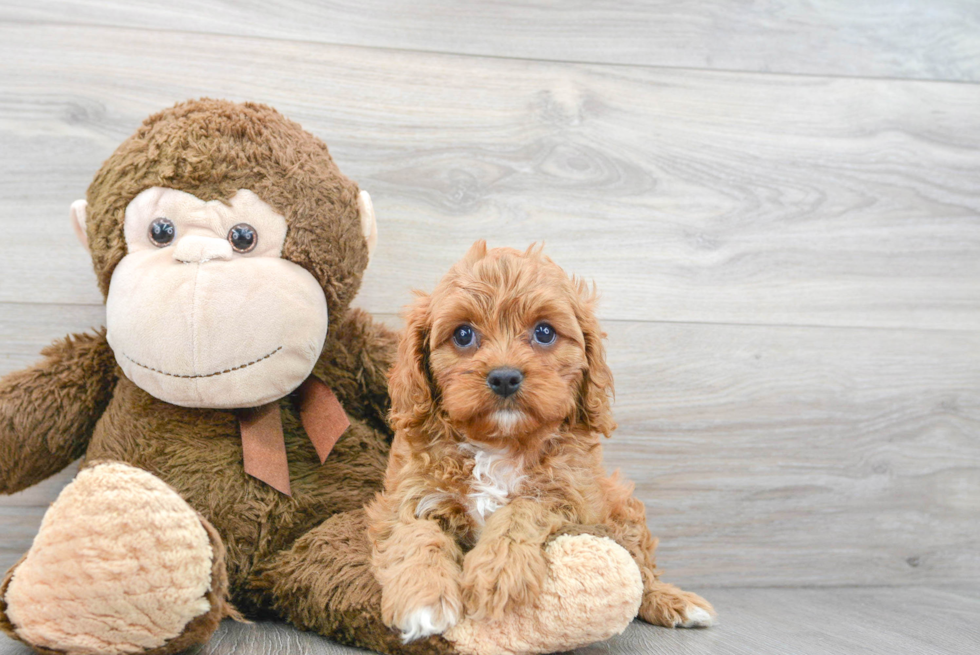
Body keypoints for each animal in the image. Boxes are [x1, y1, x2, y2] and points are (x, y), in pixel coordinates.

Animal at [368, 241, 712, 640]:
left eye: (544, 332)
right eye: (463, 335)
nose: (504, 377)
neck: (500, 444)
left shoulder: (573, 498)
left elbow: (522, 509)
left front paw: (498, 573)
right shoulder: (408, 495)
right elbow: (416, 533)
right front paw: (423, 597)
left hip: (620, 504)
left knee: (642, 569)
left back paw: (674, 601)